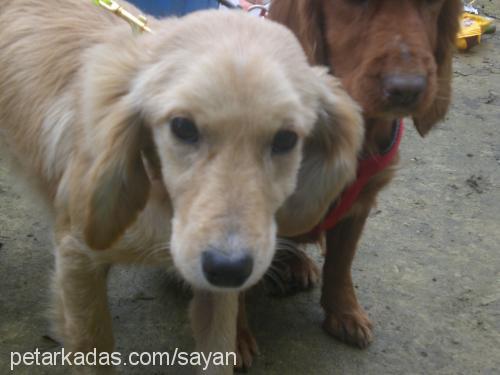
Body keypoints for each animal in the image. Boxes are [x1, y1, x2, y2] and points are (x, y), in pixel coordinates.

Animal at [0, 0, 362, 374]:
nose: (228, 268)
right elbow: (93, 347)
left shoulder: (216, 292)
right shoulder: (77, 258)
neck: (161, 199)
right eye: (182, 127)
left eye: (286, 139)